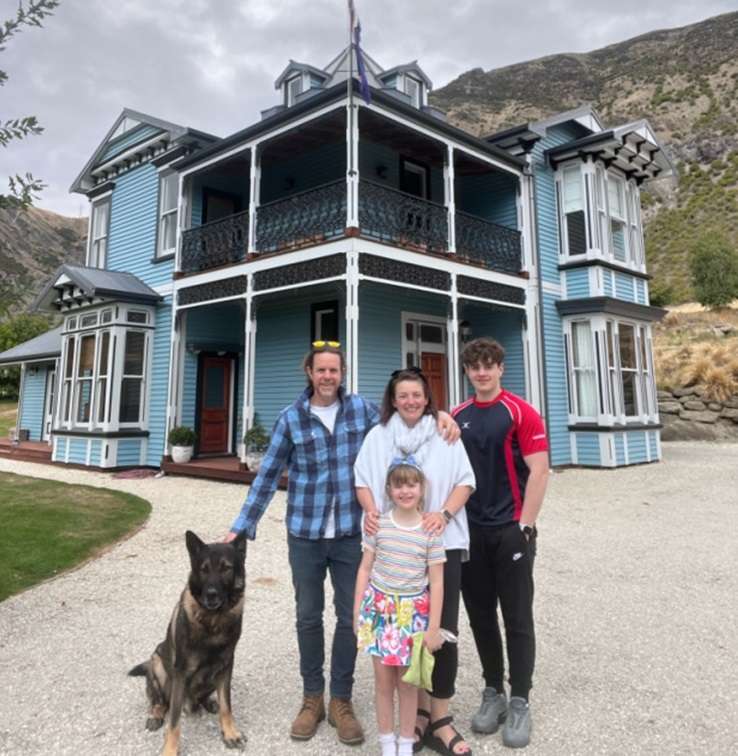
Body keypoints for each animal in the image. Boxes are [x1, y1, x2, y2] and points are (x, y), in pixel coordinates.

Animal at [129, 532, 247, 756]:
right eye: (204, 569)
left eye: (226, 568)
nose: (211, 594)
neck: (213, 621)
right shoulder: (180, 674)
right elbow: (174, 722)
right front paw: (170, 749)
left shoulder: (226, 666)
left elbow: (227, 706)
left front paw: (230, 732)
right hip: (157, 663)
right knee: (160, 701)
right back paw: (155, 714)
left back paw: (209, 702)